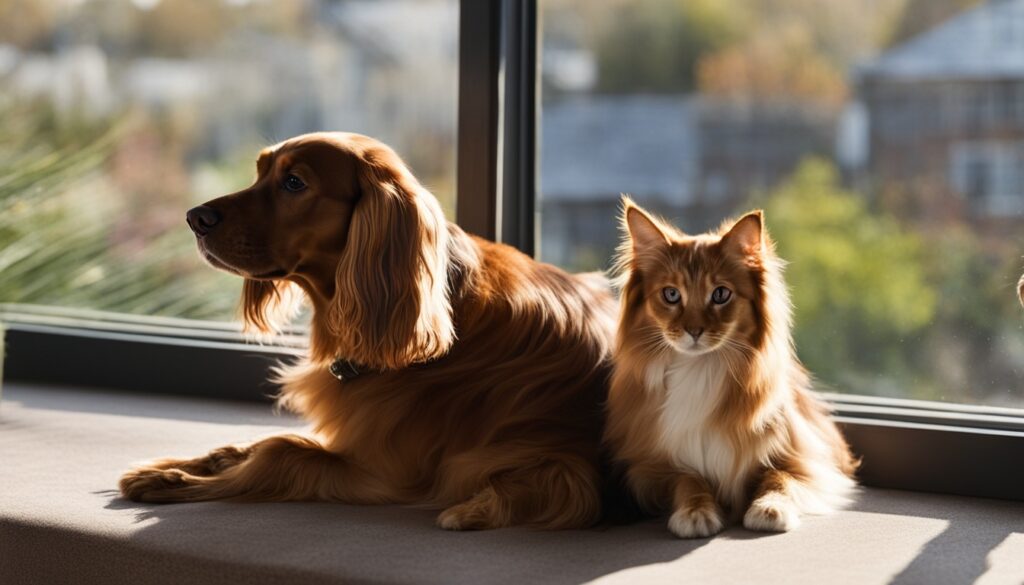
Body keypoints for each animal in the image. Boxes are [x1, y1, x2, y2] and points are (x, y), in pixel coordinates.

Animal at [119, 131, 614, 532]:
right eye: (260, 172)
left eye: (294, 183)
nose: (195, 218)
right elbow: (246, 445)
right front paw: (183, 464)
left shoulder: (387, 474)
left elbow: (281, 449)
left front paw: (172, 481)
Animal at [602, 198, 860, 536]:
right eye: (671, 295)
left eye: (720, 294)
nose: (694, 331)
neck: (700, 368)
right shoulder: (650, 468)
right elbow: (688, 479)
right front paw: (696, 513)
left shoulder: (806, 458)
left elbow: (778, 477)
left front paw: (769, 508)